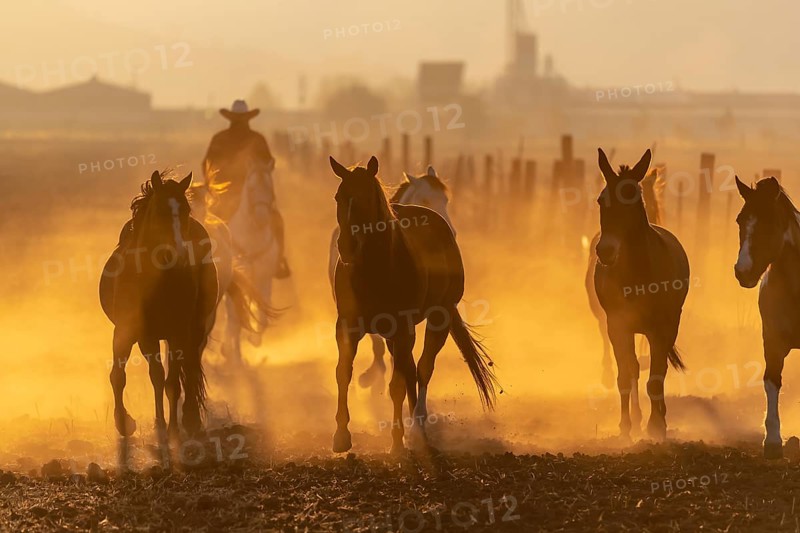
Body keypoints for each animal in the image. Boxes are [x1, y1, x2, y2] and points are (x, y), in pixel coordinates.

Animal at [99, 170, 218, 467]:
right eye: (162, 211)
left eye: (185, 210)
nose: (177, 253)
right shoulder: (134, 333)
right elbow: (125, 376)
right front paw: (127, 423)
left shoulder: (177, 333)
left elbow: (170, 381)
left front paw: (171, 427)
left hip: (195, 330)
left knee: (188, 369)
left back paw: (190, 419)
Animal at [594, 148, 688, 440]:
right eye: (601, 200)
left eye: (633, 199)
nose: (605, 251)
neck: (637, 276)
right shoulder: (617, 325)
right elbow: (625, 375)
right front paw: (625, 426)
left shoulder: (661, 328)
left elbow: (656, 377)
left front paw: (656, 426)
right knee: (635, 368)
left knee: (659, 370)